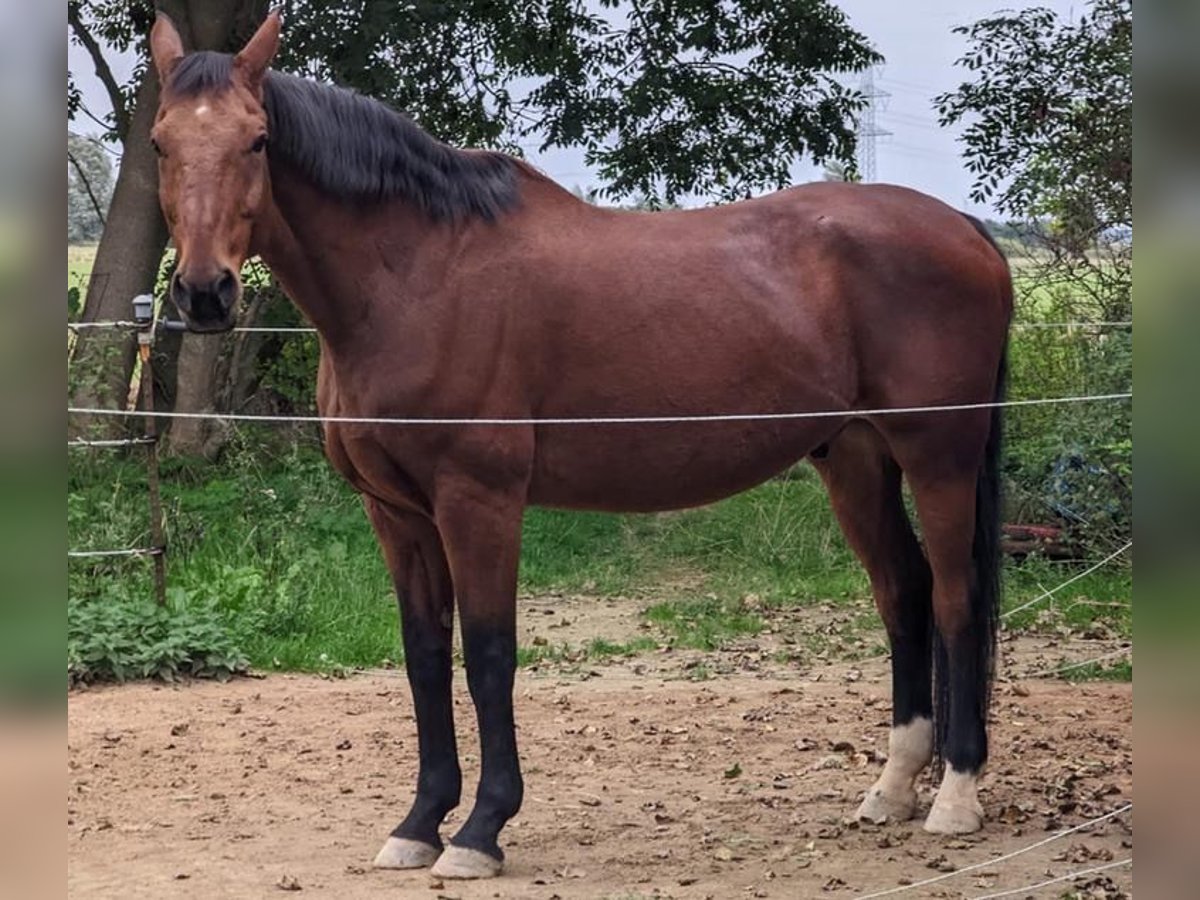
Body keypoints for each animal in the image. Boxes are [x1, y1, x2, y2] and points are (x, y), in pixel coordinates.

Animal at [150, 8, 1012, 883]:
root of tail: (966, 229)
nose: (204, 293)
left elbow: (489, 655)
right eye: (159, 142)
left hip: (939, 458)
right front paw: (420, 822)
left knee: (954, 596)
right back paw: (893, 790)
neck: (417, 276)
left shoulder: (479, 503)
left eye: (257, 140)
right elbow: (424, 657)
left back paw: (955, 796)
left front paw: (480, 830)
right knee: (902, 592)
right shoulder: (396, 513)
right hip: (857, 459)